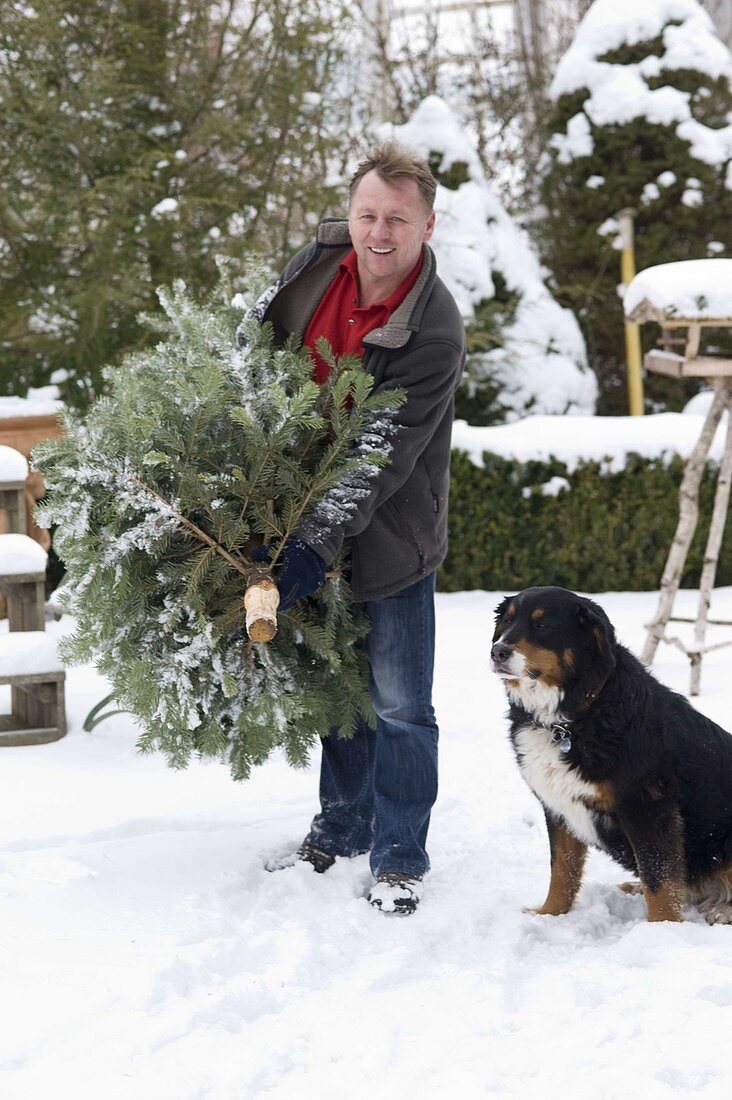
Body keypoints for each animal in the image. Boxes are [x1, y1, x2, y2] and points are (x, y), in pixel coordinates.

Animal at [488, 589, 730, 924]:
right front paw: (549, 914)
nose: (497, 652)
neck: (571, 719)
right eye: (508, 621)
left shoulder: (648, 807)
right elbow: (562, 870)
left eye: (543, 625)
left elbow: (659, 880)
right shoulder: (559, 807)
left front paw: (662, 929)